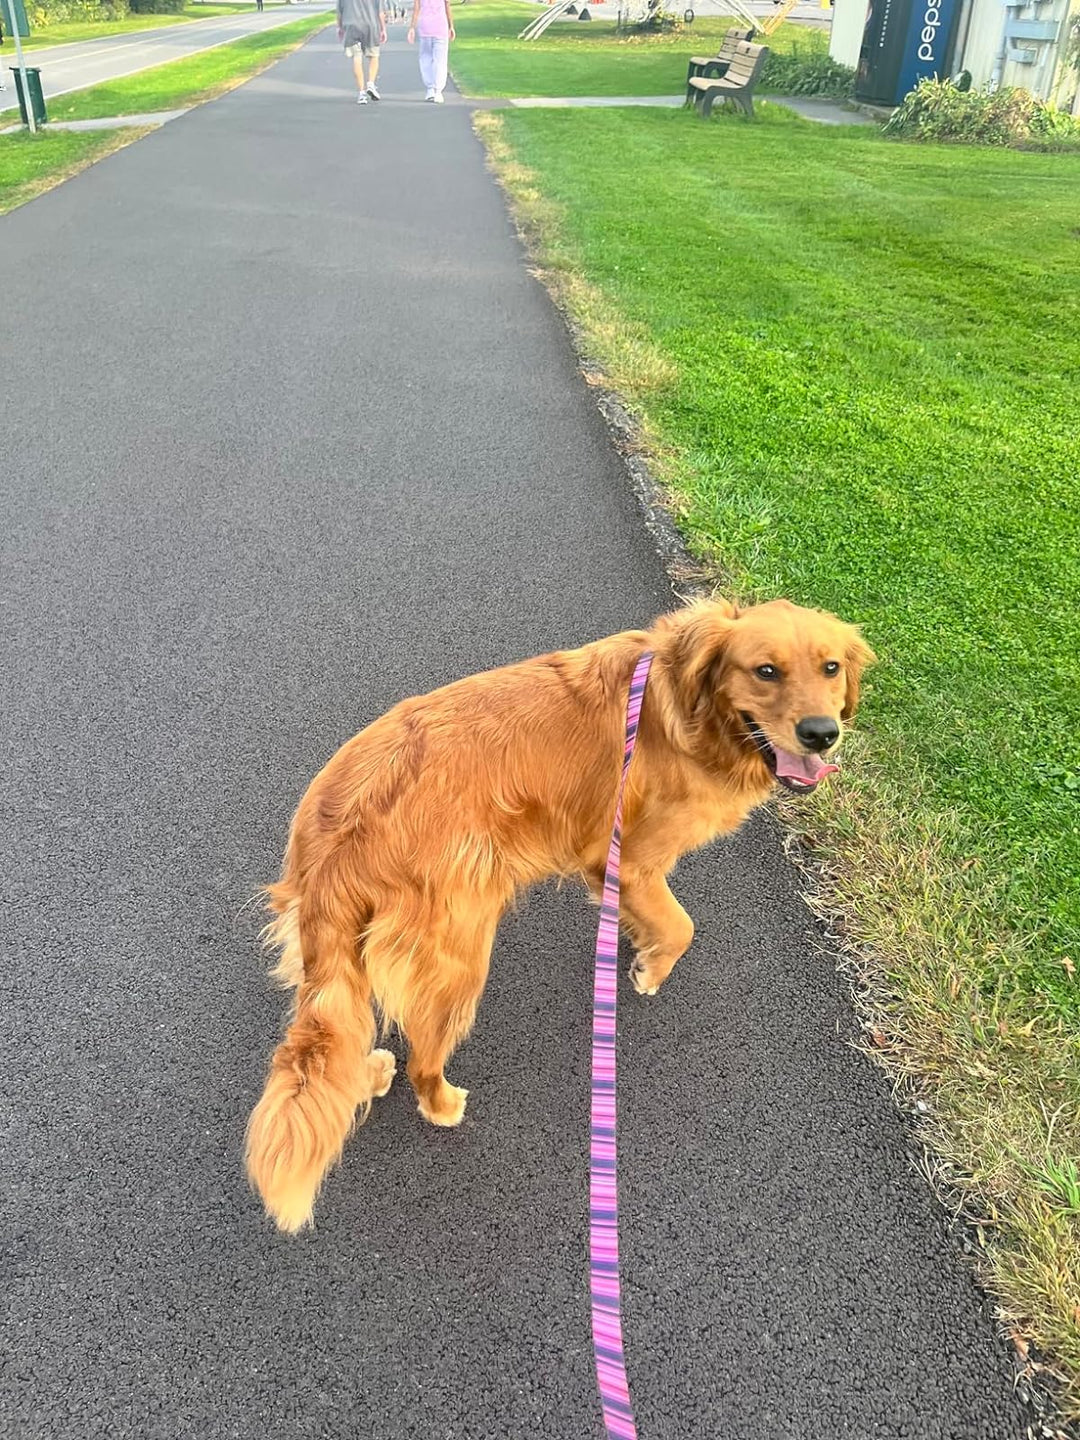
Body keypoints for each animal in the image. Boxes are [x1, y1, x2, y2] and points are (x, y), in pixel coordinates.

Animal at [244, 596, 869, 1226]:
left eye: (831, 668)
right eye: (766, 671)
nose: (822, 734)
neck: (682, 704)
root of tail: (340, 831)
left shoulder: (610, 865)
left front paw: (635, 943)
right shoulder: (632, 859)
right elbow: (682, 927)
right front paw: (650, 970)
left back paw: (370, 1072)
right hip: (458, 954)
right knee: (423, 1059)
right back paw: (441, 1103)